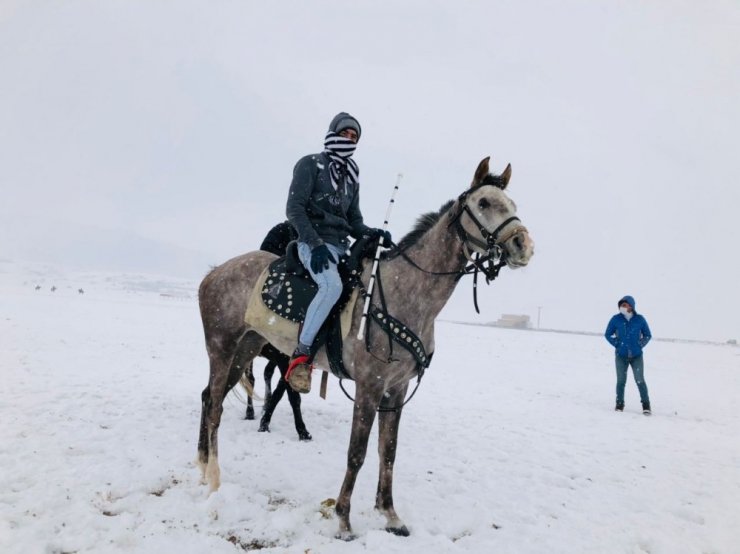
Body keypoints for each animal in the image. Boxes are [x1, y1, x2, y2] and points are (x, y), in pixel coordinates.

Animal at [197, 157, 532, 536]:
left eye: (512, 204)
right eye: (483, 203)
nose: (523, 244)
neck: (406, 294)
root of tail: (213, 274)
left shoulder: (396, 390)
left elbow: (388, 451)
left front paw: (390, 514)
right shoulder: (369, 388)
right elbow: (356, 452)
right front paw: (343, 519)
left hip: (246, 348)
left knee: (209, 396)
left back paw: (202, 466)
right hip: (222, 347)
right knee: (215, 407)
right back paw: (214, 479)